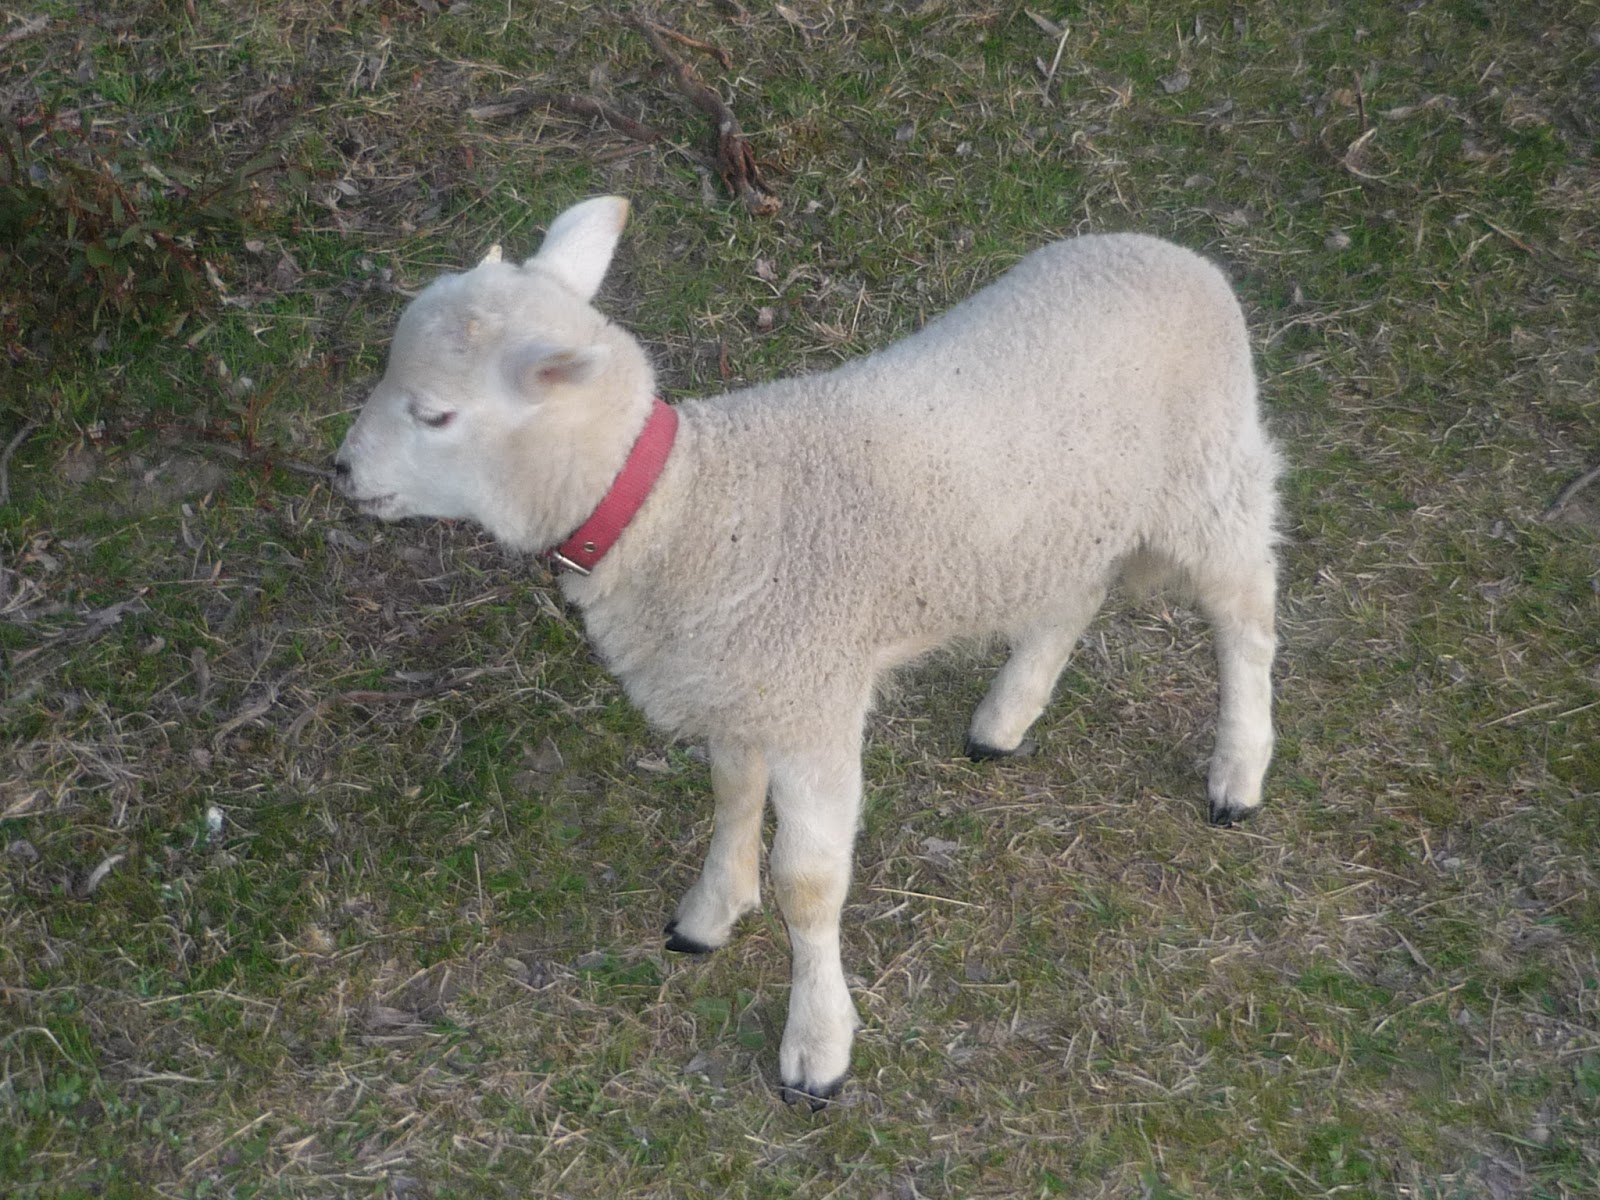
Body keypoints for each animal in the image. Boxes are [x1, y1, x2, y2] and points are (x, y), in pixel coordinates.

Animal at [333, 196, 1281, 1106]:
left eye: (435, 414)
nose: (340, 470)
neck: (682, 510)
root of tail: (1168, 251)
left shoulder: (813, 696)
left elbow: (809, 884)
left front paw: (818, 1046)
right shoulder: (742, 687)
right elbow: (731, 801)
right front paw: (711, 913)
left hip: (1210, 478)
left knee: (1248, 616)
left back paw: (1238, 773)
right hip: (1065, 518)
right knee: (1074, 597)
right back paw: (1005, 719)